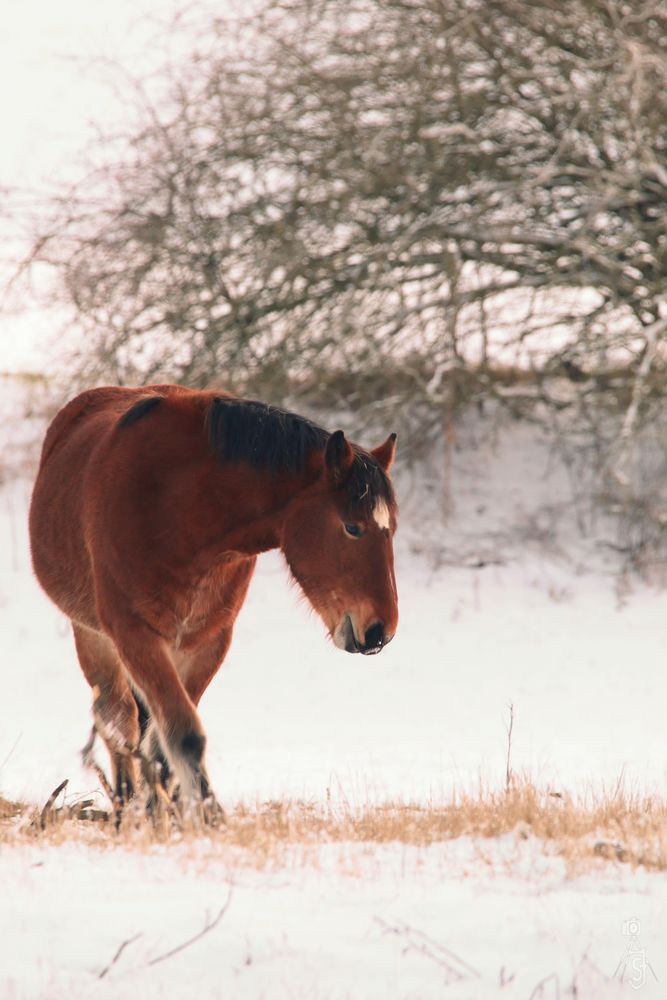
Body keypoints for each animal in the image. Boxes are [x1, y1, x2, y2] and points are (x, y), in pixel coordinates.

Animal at [28, 386, 400, 816]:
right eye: (353, 527)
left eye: (392, 528)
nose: (381, 629)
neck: (177, 509)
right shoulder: (134, 635)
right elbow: (181, 734)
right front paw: (207, 817)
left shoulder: (209, 640)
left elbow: (164, 744)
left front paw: (177, 812)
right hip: (93, 638)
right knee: (116, 720)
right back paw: (127, 806)